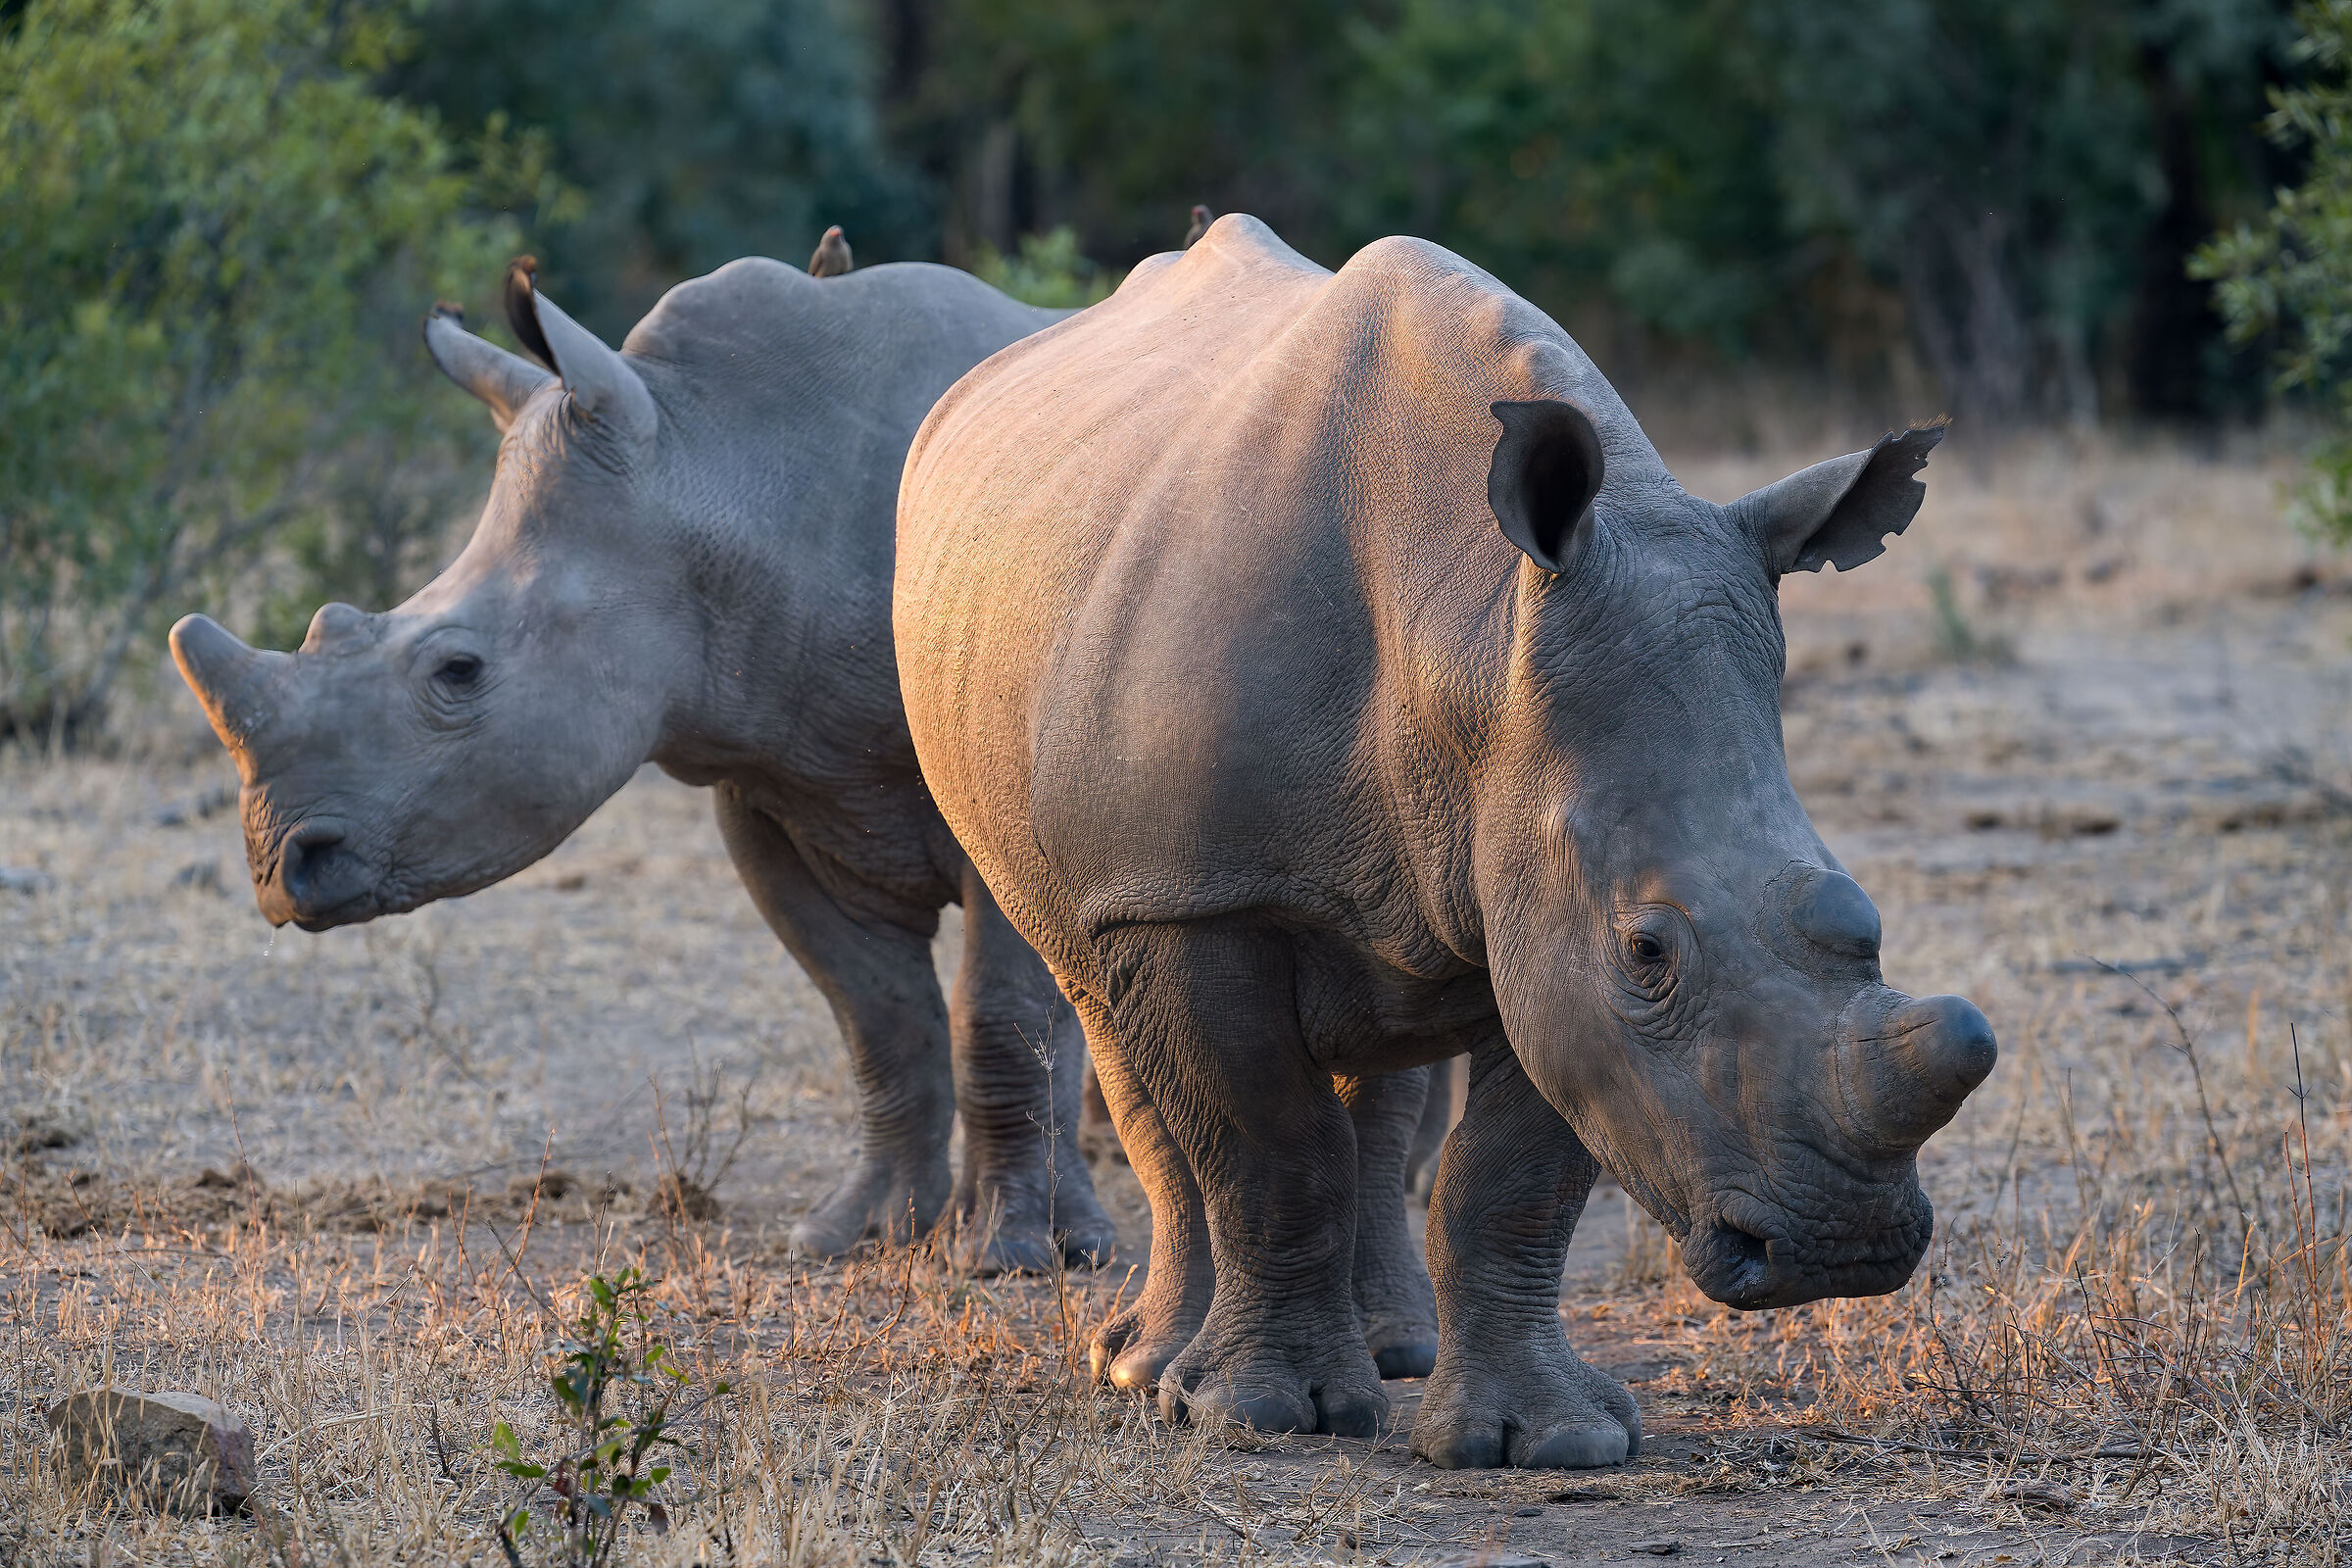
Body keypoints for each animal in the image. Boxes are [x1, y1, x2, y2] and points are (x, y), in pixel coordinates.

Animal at [168, 255, 1118, 1272]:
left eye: (458, 672)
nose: (280, 868)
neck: (728, 472)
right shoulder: (778, 775)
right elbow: (876, 1013)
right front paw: (857, 1234)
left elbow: (999, 1012)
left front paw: (1012, 1255)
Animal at [895, 216, 1997, 1466]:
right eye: (1648, 953)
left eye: (1861, 918)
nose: (1842, 1249)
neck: (1471, 634)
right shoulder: (1197, 889)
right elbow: (1271, 1144)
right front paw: (1261, 1416)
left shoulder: (1535, 887)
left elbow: (1510, 1176)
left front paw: (1546, 1441)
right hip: (1106, 831)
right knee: (1116, 1016)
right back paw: (1143, 1369)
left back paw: (1391, 1355)